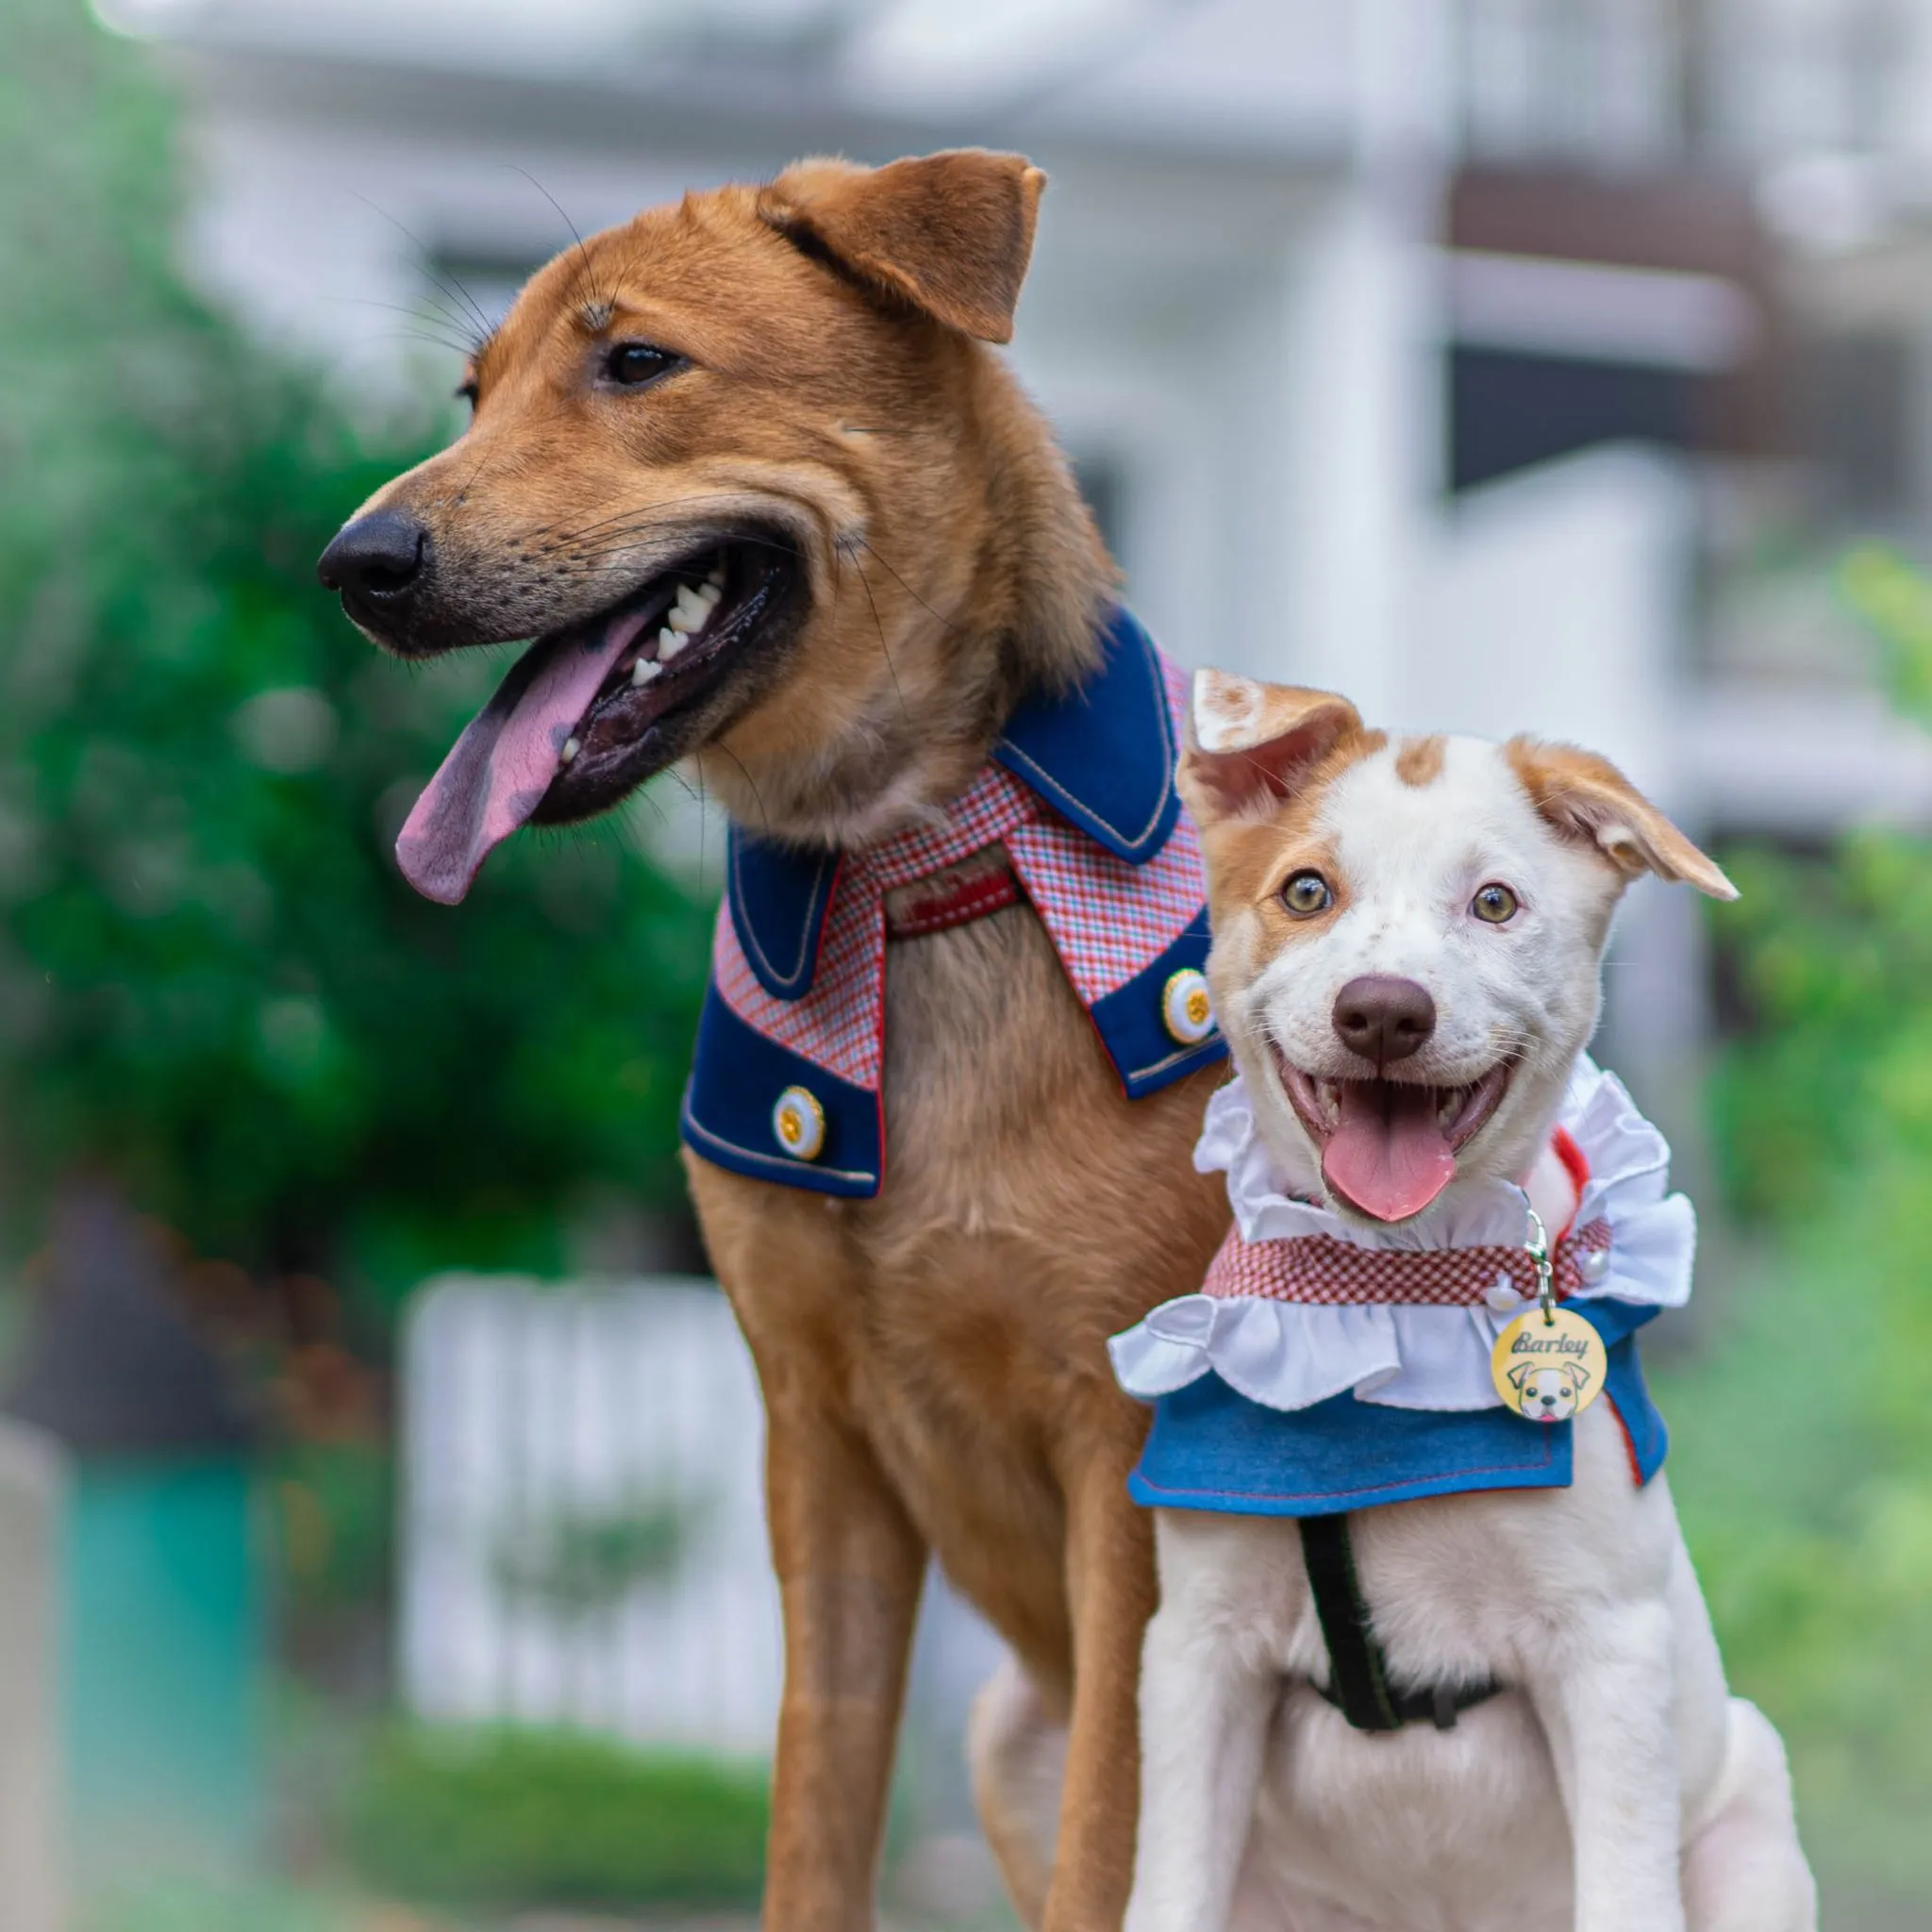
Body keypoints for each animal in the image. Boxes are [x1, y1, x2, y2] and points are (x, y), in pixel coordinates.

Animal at [316, 154, 1221, 1932]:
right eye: (474, 393)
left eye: (636, 363)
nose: (353, 560)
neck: (916, 877)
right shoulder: (821, 1449)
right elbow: (813, 1818)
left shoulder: (1133, 1470)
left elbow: (1113, 1848)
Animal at [1120, 675, 1807, 1932]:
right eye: (1305, 890)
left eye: (1494, 902)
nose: (1382, 1013)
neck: (1384, 1289)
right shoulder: (1196, 1651)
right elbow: (1167, 1889)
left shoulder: (1608, 1649)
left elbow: (1625, 1891)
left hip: (1750, 1814)